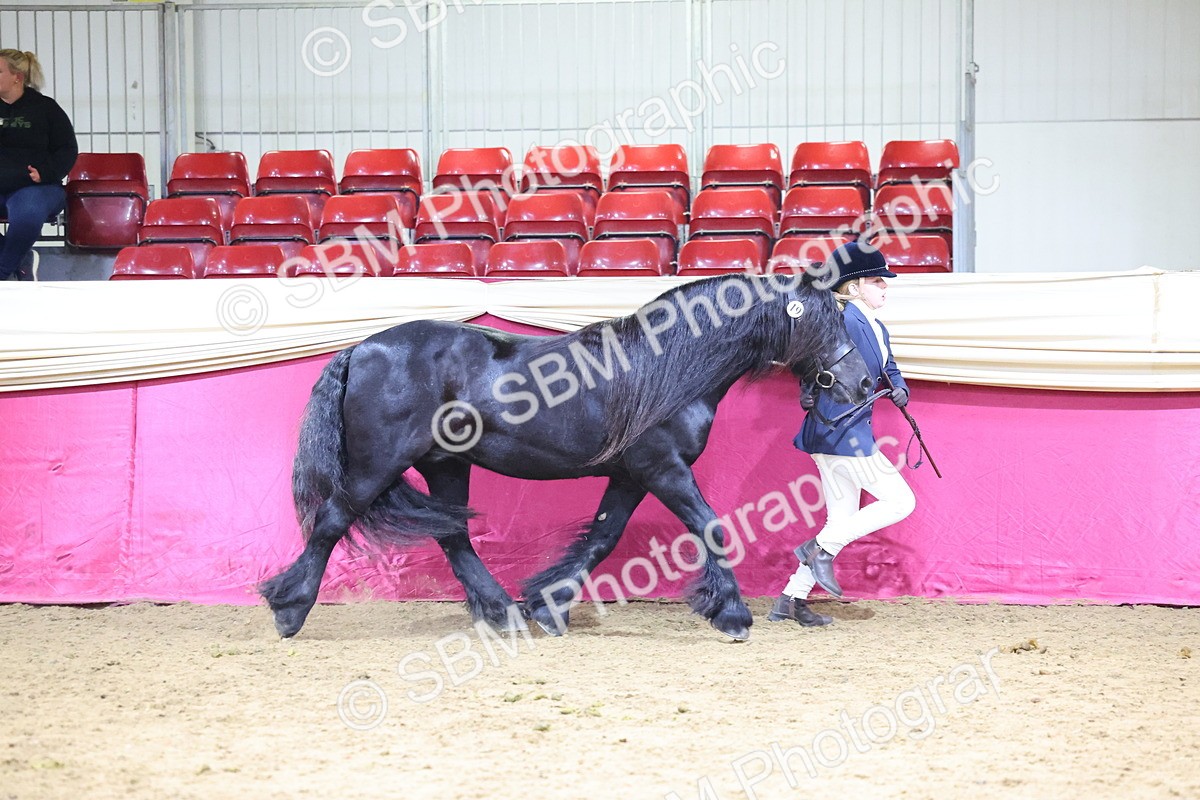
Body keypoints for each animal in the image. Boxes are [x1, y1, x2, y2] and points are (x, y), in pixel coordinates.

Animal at [260, 271, 874, 641]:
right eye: (828, 320)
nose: (864, 384)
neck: (667, 367)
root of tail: (362, 348)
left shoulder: (632, 474)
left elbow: (601, 537)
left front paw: (549, 604)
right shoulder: (663, 467)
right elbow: (711, 526)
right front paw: (732, 614)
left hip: (445, 464)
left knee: (454, 537)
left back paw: (505, 612)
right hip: (376, 464)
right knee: (331, 522)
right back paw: (290, 609)